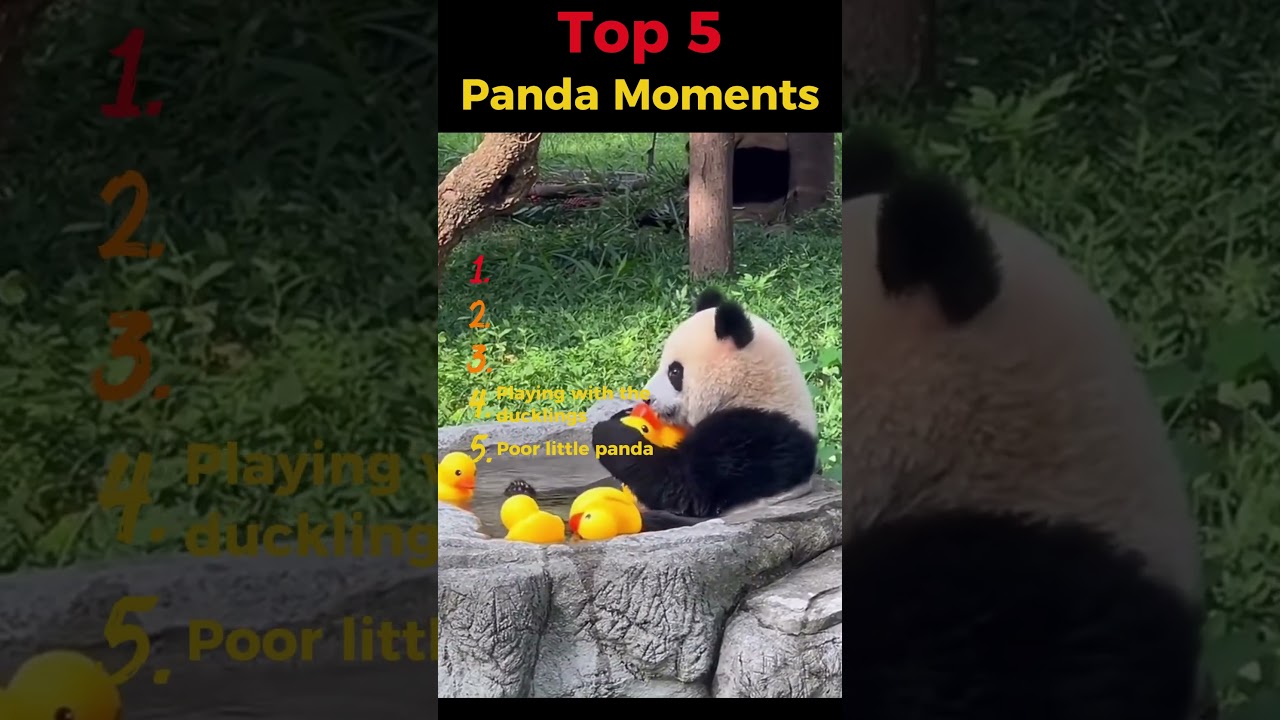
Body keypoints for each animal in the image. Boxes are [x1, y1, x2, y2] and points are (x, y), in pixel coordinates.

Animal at [590, 288, 820, 524]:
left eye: (674, 371)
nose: (646, 398)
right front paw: (621, 415)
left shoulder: (755, 438)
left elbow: (687, 487)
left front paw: (609, 433)